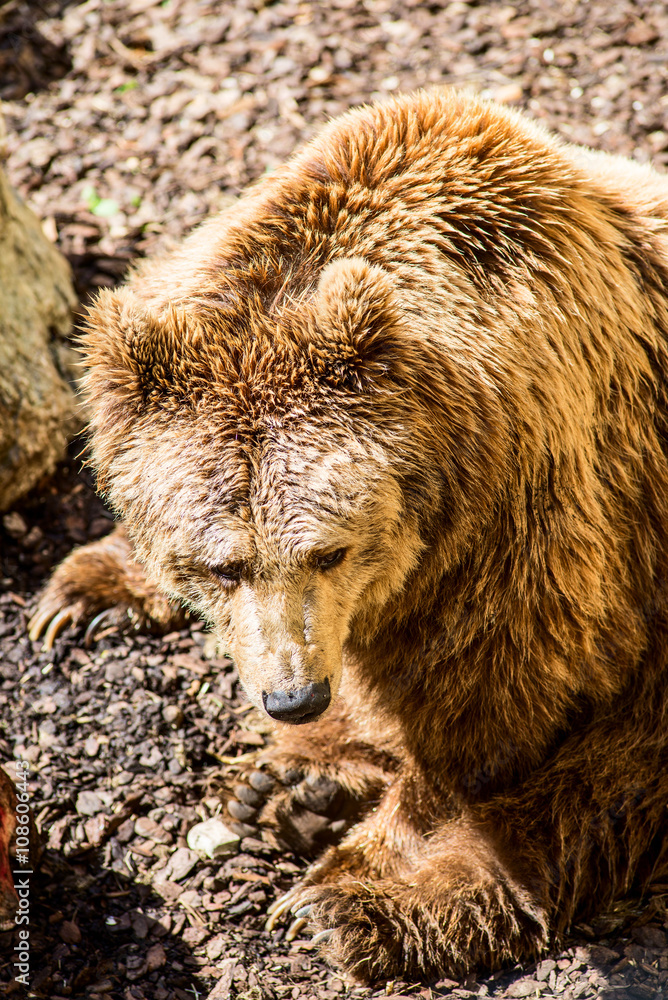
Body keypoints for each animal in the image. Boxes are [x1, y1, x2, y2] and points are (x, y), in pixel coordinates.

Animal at [29, 89, 668, 983]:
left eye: (329, 549)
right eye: (221, 567)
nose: (294, 696)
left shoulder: (536, 504)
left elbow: (489, 706)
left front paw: (357, 878)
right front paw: (88, 591)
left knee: (599, 788)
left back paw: (353, 895)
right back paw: (293, 788)